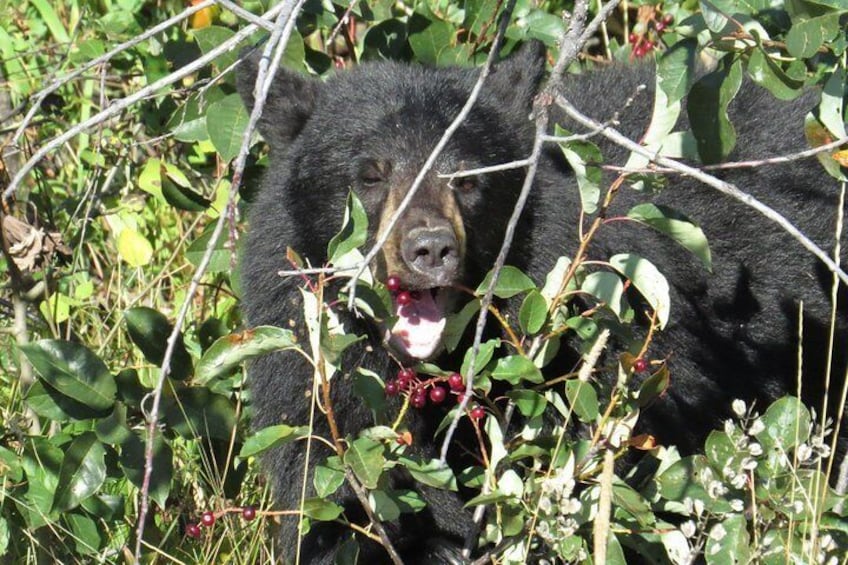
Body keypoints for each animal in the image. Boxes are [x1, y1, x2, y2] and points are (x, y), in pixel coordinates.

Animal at [235, 41, 844, 560]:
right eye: (369, 175)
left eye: (469, 180)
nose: (430, 248)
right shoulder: (321, 385)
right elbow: (339, 497)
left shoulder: (616, 361)